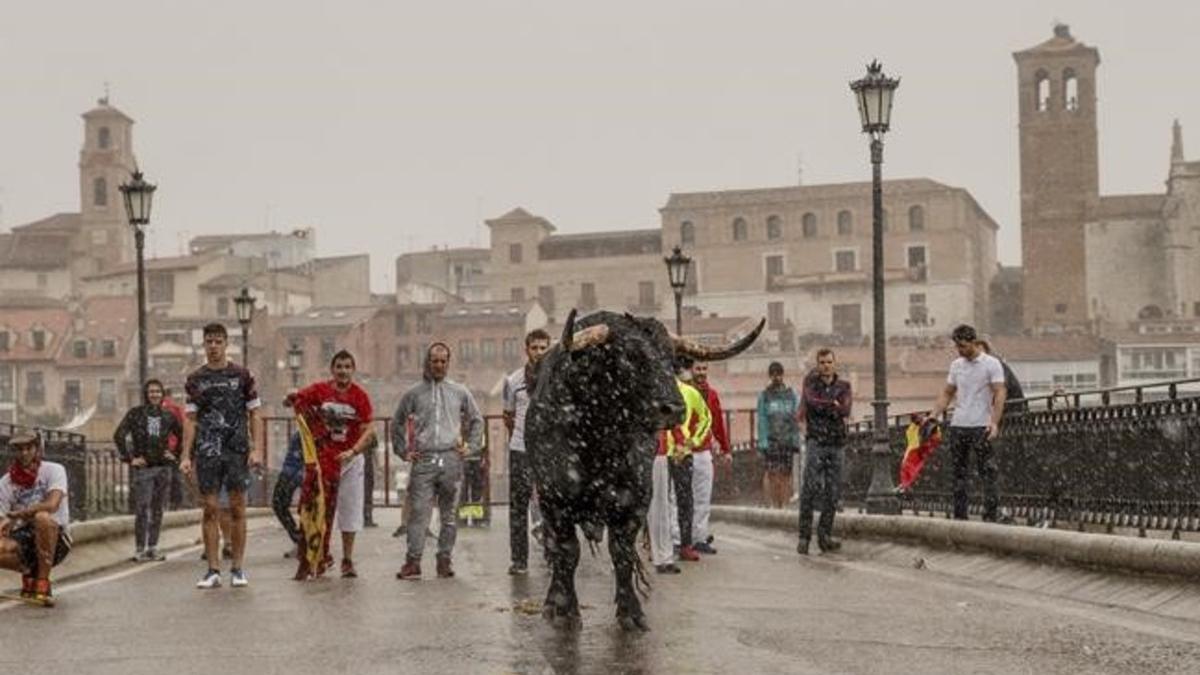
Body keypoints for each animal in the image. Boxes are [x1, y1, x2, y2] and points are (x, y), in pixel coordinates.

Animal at [528, 307, 768, 629]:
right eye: (629, 356)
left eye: (671, 359)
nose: (673, 408)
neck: (598, 436)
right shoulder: (556, 501)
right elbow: (567, 553)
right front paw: (564, 609)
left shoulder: (634, 501)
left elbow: (622, 553)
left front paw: (631, 611)